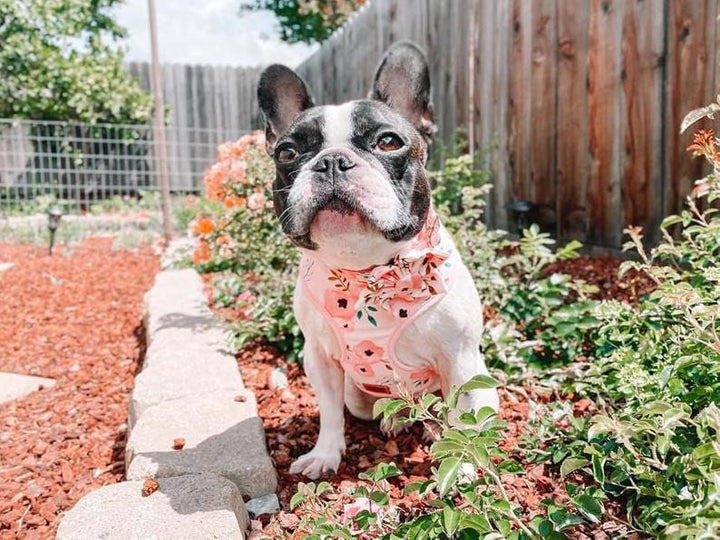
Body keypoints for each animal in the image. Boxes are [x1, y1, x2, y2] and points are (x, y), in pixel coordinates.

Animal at [258, 43, 500, 480]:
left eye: (388, 142)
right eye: (288, 152)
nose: (331, 161)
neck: (365, 272)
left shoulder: (459, 359)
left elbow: (463, 416)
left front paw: (462, 467)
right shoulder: (319, 359)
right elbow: (329, 414)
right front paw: (325, 455)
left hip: (482, 381)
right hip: (360, 397)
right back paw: (396, 421)